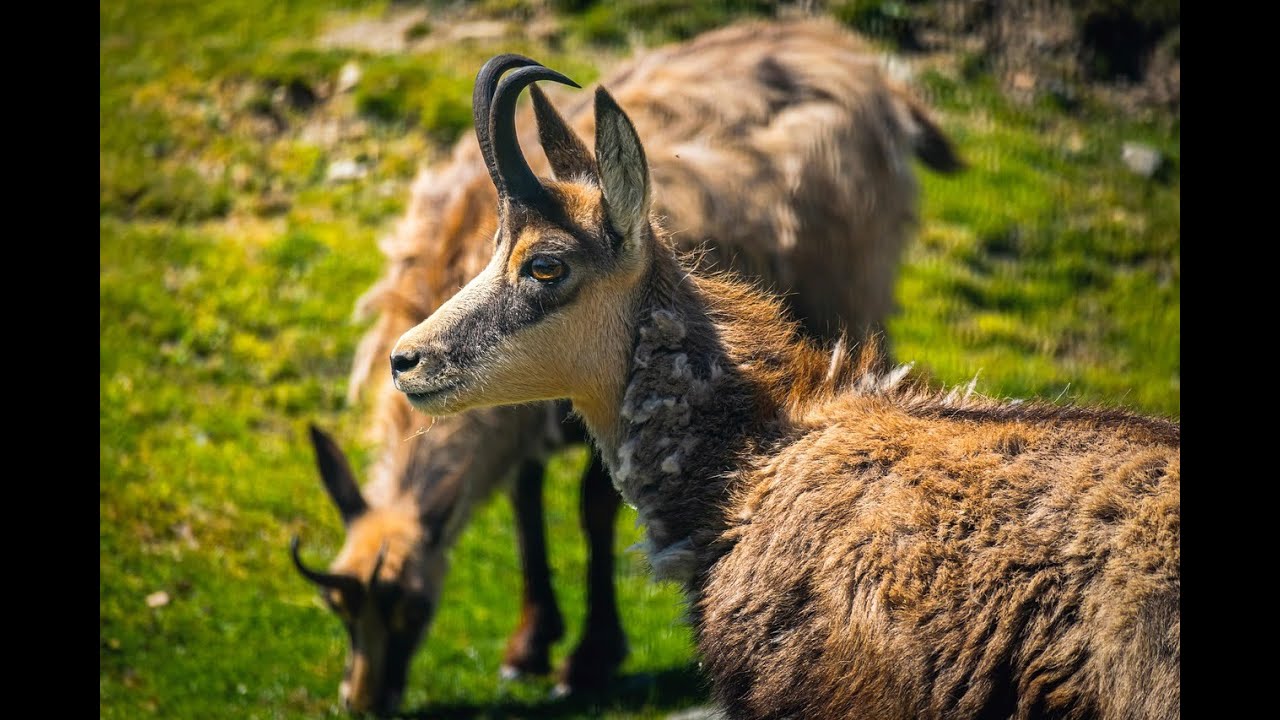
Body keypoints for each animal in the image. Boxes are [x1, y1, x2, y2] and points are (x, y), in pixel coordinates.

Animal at [293, 18, 961, 715]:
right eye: (339, 612)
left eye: (407, 605)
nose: (362, 700)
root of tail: (863, 68)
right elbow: (525, 502)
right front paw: (528, 645)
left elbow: (592, 505)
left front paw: (588, 659)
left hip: (855, 284)